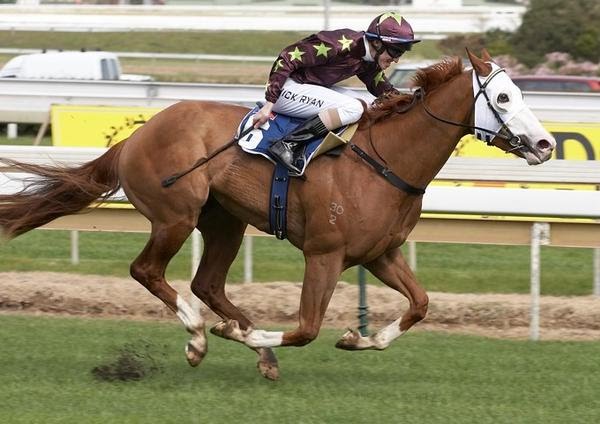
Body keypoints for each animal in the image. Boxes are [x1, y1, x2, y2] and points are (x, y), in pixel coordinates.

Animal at [0, 50, 552, 380]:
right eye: (503, 97)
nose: (546, 144)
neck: (385, 161)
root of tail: (136, 134)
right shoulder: (324, 254)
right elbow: (306, 328)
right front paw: (237, 334)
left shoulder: (380, 254)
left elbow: (420, 305)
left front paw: (359, 338)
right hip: (177, 215)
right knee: (148, 270)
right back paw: (200, 336)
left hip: (224, 221)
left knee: (207, 283)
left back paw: (255, 350)